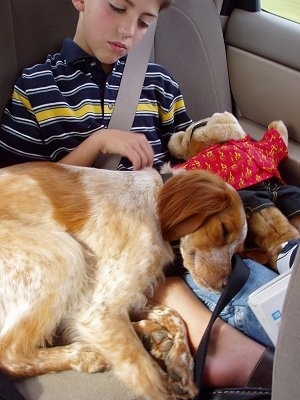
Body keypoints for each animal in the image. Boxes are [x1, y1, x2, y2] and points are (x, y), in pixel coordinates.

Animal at [0, 162, 246, 400]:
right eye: (224, 231)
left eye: (238, 250)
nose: (226, 284)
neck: (152, 206)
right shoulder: (98, 310)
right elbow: (149, 378)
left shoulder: (128, 296)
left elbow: (174, 316)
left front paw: (181, 365)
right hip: (63, 253)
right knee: (9, 355)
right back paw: (87, 354)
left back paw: (148, 334)